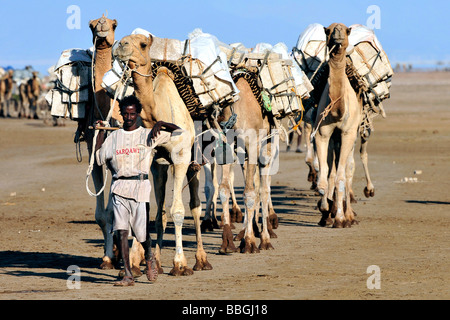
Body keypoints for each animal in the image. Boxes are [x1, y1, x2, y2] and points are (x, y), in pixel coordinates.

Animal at [112, 33, 211, 276]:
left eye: (142, 44)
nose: (120, 45)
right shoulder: (154, 163)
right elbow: (153, 214)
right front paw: (142, 262)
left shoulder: (181, 158)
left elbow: (178, 210)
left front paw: (180, 264)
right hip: (166, 167)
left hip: (193, 163)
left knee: (195, 205)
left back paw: (201, 260)